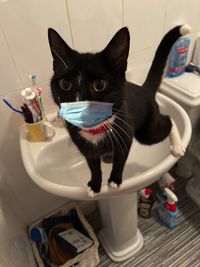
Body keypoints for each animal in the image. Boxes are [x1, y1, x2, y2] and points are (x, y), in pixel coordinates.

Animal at [48, 25, 189, 197]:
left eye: (99, 85)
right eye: (65, 84)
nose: (78, 107)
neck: (95, 131)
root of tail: (144, 89)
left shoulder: (125, 135)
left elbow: (120, 160)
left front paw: (115, 180)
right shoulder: (85, 147)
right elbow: (93, 166)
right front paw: (95, 184)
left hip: (147, 132)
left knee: (168, 119)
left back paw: (177, 146)